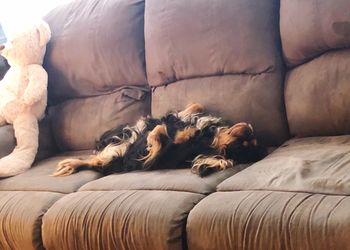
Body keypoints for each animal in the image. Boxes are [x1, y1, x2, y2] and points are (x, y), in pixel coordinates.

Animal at [51, 103, 266, 178]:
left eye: (243, 145)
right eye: (247, 141)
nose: (250, 128)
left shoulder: (159, 155)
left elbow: (159, 139)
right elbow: (193, 108)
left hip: (113, 158)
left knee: (95, 161)